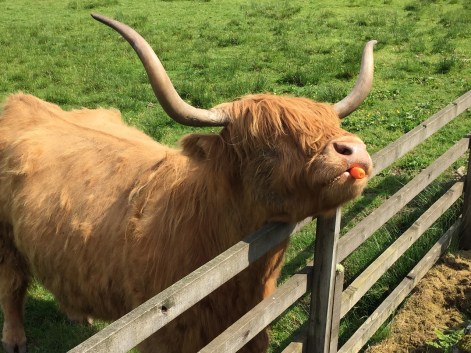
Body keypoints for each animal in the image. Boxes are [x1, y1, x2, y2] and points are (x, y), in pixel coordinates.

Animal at [0, 13, 376, 352]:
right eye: (267, 145)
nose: (352, 150)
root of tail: (21, 100)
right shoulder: (162, 336)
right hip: (7, 242)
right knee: (12, 286)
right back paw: (15, 339)